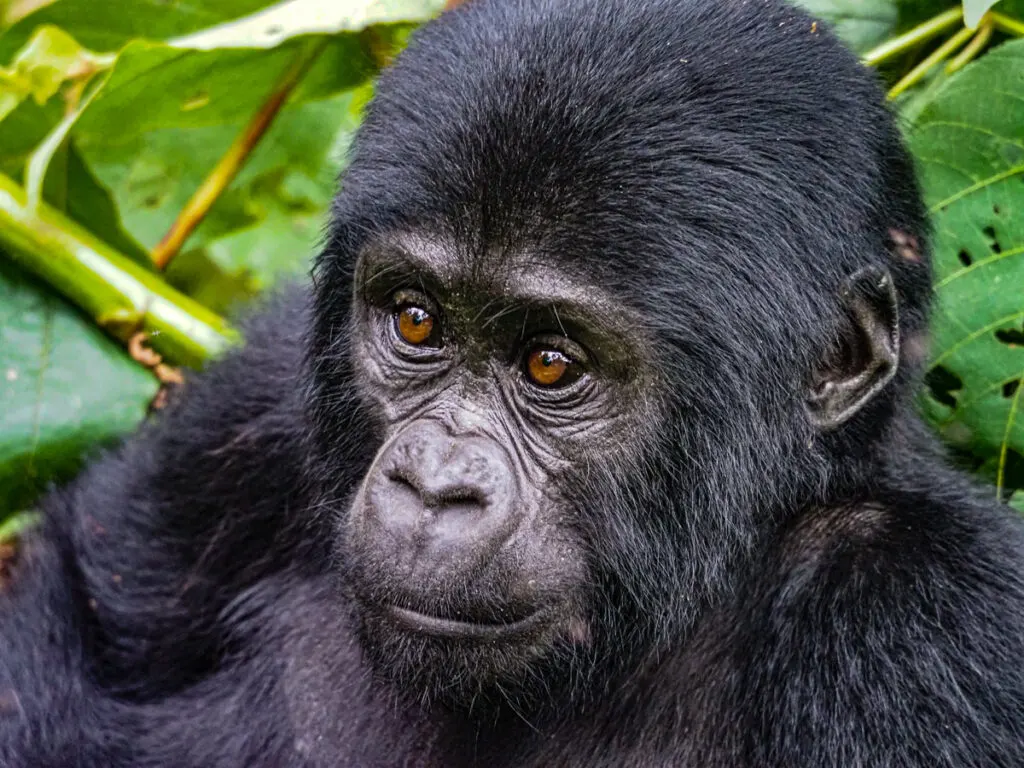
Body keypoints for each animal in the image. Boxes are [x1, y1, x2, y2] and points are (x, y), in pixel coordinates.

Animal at [2, 0, 1024, 765]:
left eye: (550, 364)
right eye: (415, 320)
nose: (433, 484)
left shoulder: (924, 617)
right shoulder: (261, 391)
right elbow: (67, 597)